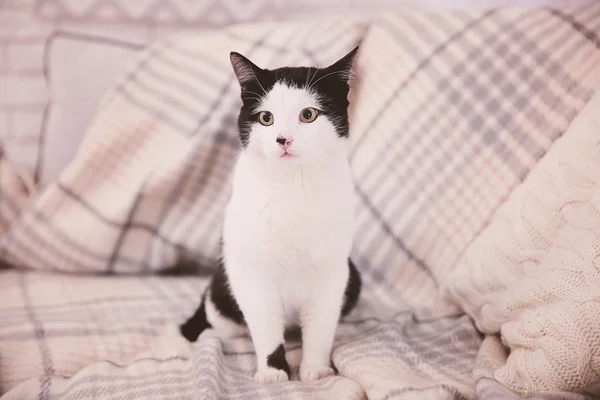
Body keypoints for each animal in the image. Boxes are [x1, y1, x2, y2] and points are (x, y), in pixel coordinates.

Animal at [179, 47, 360, 384]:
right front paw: (273, 371)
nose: (283, 139)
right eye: (266, 118)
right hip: (222, 287)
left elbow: (320, 323)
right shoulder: (250, 268)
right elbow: (263, 321)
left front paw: (316, 368)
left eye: (308, 114)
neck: (292, 186)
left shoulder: (331, 269)